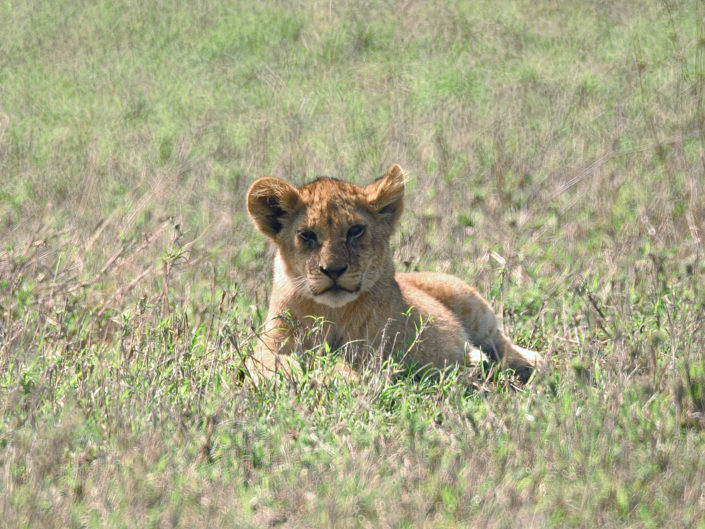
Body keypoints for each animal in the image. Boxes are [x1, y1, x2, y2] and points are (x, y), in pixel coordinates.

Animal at [246, 163, 544, 382]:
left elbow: (339, 362)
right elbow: (260, 359)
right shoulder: (271, 338)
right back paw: (474, 362)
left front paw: (338, 377)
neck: (331, 312)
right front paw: (288, 372)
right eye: (307, 235)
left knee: (503, 344)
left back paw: (528, 364)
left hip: (472, 305)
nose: (333, 270)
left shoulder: (376, 349)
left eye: (355, 230)